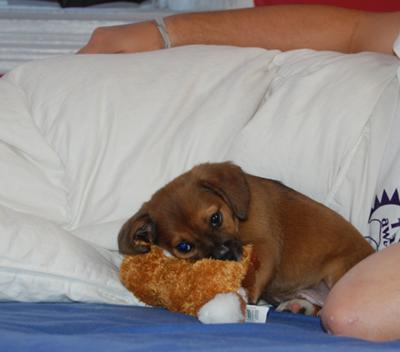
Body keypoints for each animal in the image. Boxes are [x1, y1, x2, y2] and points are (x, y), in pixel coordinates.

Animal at [119, 162, 376, 310]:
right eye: (184, 247)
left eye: (215, 218)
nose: (223, 255)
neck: (237, 219)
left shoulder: (265, 245)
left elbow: (254, 273)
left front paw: (242, 293)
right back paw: (298, 305)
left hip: (339, 271)